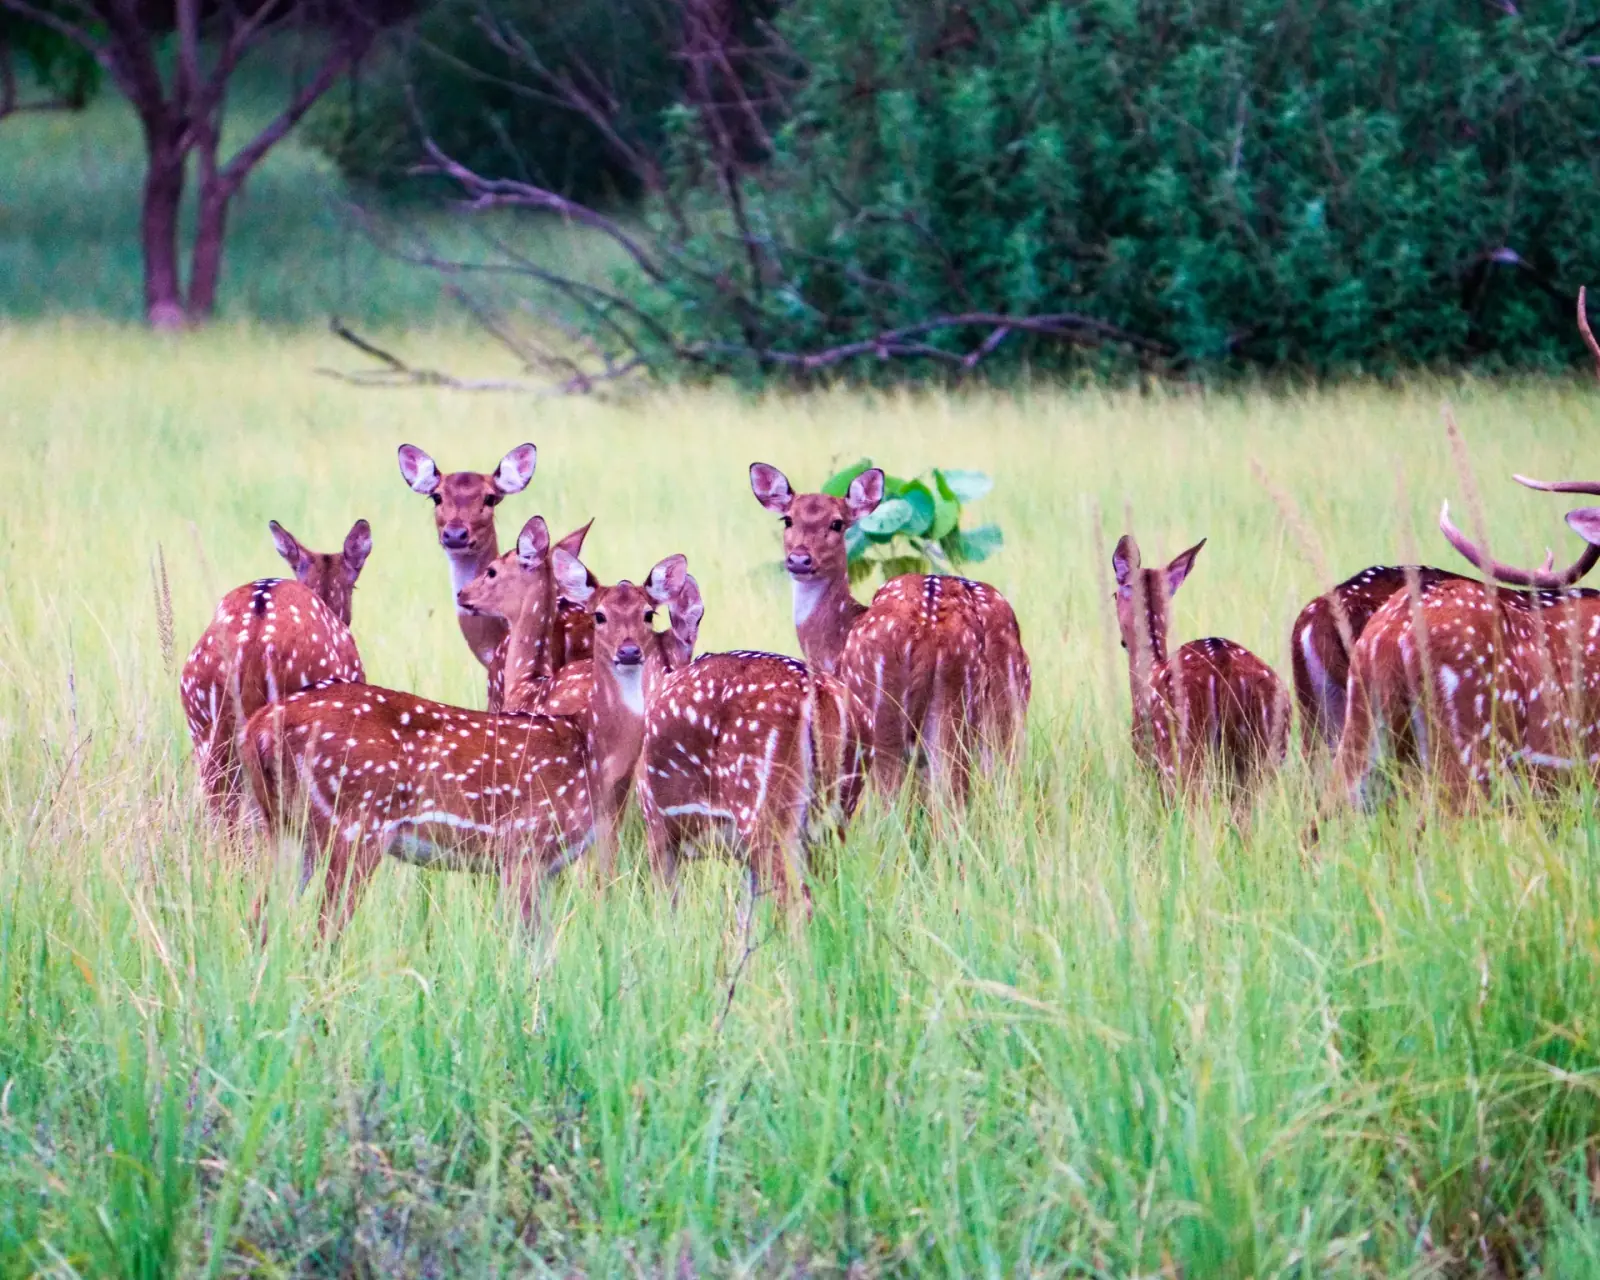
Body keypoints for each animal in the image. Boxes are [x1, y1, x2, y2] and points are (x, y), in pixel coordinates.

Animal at [636, 650, 871, 912]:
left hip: (762, 809)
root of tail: (822, 694)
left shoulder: (655, 823)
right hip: (839, 812)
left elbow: (667, 907)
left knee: (796, 900)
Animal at [748, 462, 1030, 807]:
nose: (800, 559)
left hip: (886, 710)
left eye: (837, 523)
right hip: (1007, 708)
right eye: (787, 518)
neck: (833, 643)